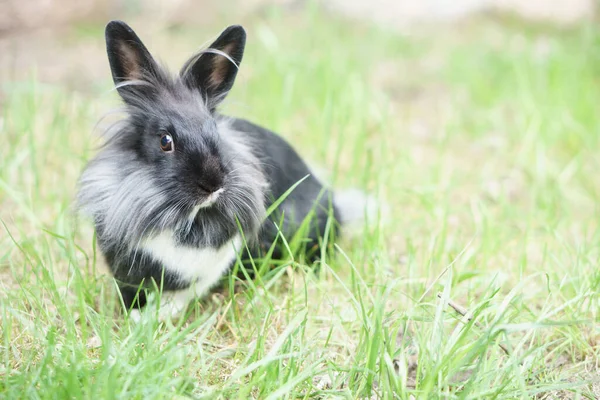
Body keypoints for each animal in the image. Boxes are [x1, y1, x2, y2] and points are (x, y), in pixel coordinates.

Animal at [76, 20, 380, 322]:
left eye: (215, 133)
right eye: (165, 141)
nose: (213, 185)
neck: (181, 216)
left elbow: (184, 294)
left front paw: (153, 317)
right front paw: (135, 317)